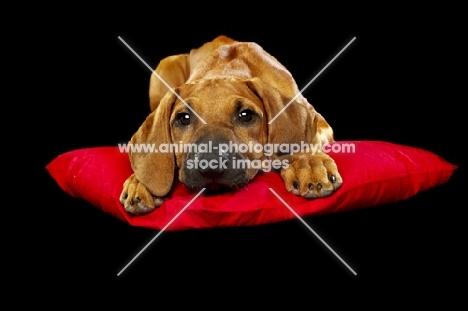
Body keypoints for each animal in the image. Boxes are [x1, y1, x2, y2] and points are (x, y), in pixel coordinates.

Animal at [120, 34, 342, 214]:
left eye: (246, 115)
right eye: (183, 118)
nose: (210, 165)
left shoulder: (320, 121)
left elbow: (307, 140)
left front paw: (308, 162)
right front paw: (139, 181)